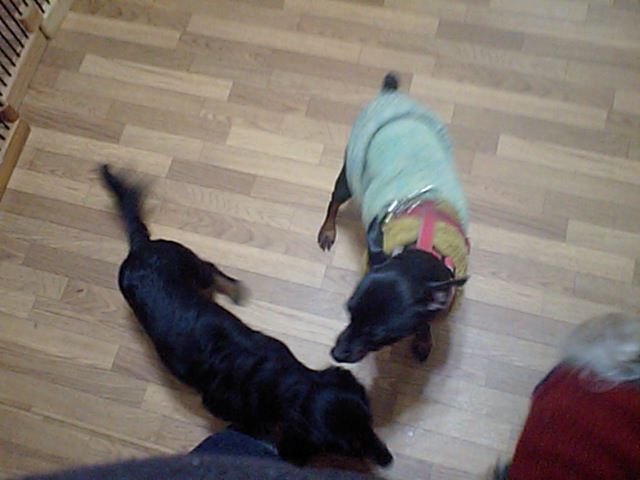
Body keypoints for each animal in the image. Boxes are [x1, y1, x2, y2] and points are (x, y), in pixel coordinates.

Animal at [100, 165, 392, 468]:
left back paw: (235, 290)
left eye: (370, 421)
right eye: (349, 447)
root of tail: (140, 246)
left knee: (212, 271)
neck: (280, 380)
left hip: (188, 264)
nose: (388, 459)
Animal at [317, 73, 469, 363]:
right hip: (350, 175)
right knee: (334, 202)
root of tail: (389, 94)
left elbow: (426, 321)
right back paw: (328, 231)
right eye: (348, 310)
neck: (423, 244)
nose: (336, 352)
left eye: (380, 336)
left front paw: (423, 339)